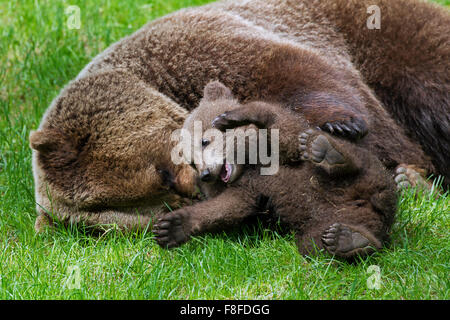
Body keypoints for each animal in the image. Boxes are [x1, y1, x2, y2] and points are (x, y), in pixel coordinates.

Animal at [30, 0, 446, 231]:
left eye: (162, 174)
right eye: (159, 204)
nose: (196, 182)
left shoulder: (201, 49)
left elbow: (304, 77)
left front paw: (344, 129)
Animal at [152, 81, 398, 258]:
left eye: (204, 141)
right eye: (192, 162)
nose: (205, 174)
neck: (249, 166)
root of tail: (377, 207)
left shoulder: (283, 149)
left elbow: (286, 132)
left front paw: (235, 116)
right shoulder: (246, 191)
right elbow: (225, 208)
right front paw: (171, 227)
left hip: (373, 172)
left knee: (358, 159)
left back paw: (327, 150)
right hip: (326, 223)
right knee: (317, 243)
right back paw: (349, 240)